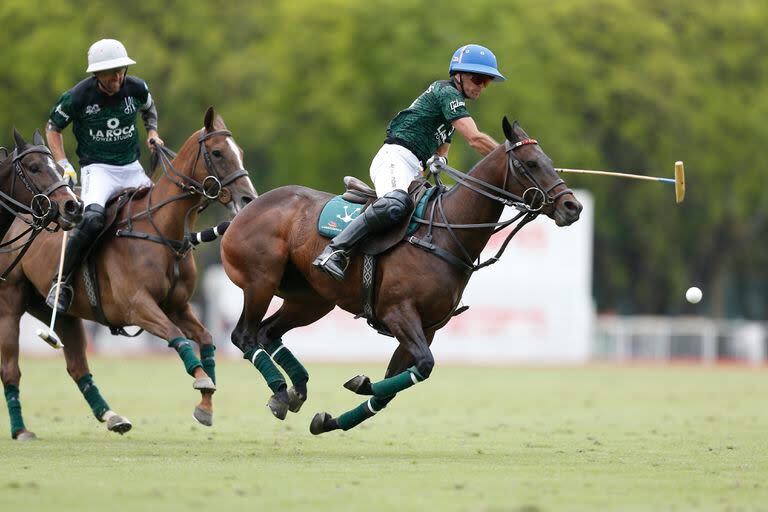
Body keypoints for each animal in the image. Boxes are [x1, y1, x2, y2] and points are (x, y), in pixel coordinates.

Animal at [0, 108, 258, 440]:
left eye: (240, 152)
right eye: (217, 153)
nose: (248, 200)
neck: (163, 229)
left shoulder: (177, 306)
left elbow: (207, 338)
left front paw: (206, 404)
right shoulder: (136, 305)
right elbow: (177, 337)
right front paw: (201, 380)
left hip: (59, 312)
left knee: (77, 366)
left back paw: (112, 416)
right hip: (10, 302)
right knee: (11, 368)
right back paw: (21, 430)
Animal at [220, 118, 584, 434]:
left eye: (548, 160)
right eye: (531, 163)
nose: (573, 207)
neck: (445, 232)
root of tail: (245, 210)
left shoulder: (428, 327)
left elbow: (392, 389)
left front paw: (332, 419)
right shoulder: (399, 313)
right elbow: (423, 366)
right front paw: (361, 383)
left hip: (310, 300)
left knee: (268, 333)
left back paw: (293, 392)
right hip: (261, 281)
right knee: (244, 336)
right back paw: (282, 390)